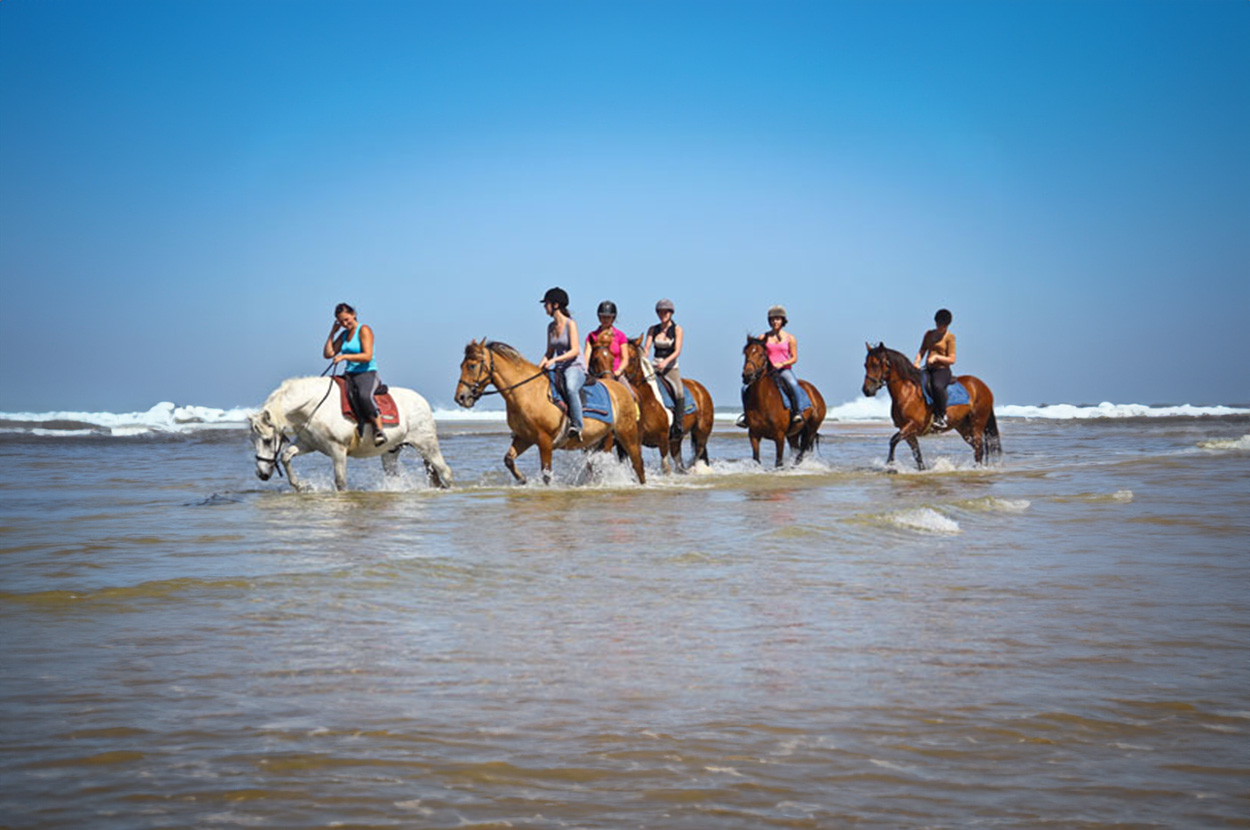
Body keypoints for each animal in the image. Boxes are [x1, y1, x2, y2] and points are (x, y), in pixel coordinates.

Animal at [248, 377, 455, 492]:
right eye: (253, 441)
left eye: (267, 441)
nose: (262, 474)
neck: (314, 406)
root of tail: (423, 401)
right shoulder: (308, 444)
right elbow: (286, 456)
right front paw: (301, 486)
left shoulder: (338, 450)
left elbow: (340, 481)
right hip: (391, 453)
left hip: (426, 445)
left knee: (445, 471)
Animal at [452, 340, 645, 487]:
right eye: (461, 365)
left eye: (472, 366)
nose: (460, 397)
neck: (527, 392)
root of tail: (623, 389)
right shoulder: (524, 438)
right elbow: (508, 459)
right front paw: (522, 479)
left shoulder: (544, 440)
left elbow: (546, 474)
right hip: (596, 441)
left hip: (626, 433)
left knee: (637, 462)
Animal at [585, 330, 715, 472]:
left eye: (631, 359)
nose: (614, 377)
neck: (648, 401)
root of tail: (700, 388)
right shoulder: (632, 442)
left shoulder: (662, 439)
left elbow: (665, 467)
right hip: (676, 440)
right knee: (679, 459)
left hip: (701, 432)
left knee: (697, 454)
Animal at [735, 337, 825, 467]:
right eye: (745, 353)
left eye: (761, 354)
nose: (747, 375)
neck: (763, 401)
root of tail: (815, 392)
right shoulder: (754, 435)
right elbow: (756, 459)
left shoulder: (779, 436)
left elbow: (779, 462)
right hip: (793, 434)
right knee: (796, 449)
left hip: (811, 430)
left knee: (801, 454)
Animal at [865, 342, 1000, 470]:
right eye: (865, 365)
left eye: (876, 365)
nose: (866, 390)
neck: (907, 392)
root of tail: (982, 386)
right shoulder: (908, 431)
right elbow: (917, 454)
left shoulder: (912, 425)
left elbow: (893, 440)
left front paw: (890, 463)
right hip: (963, 427)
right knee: (977, 448)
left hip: (977, 423)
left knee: (979, 448)